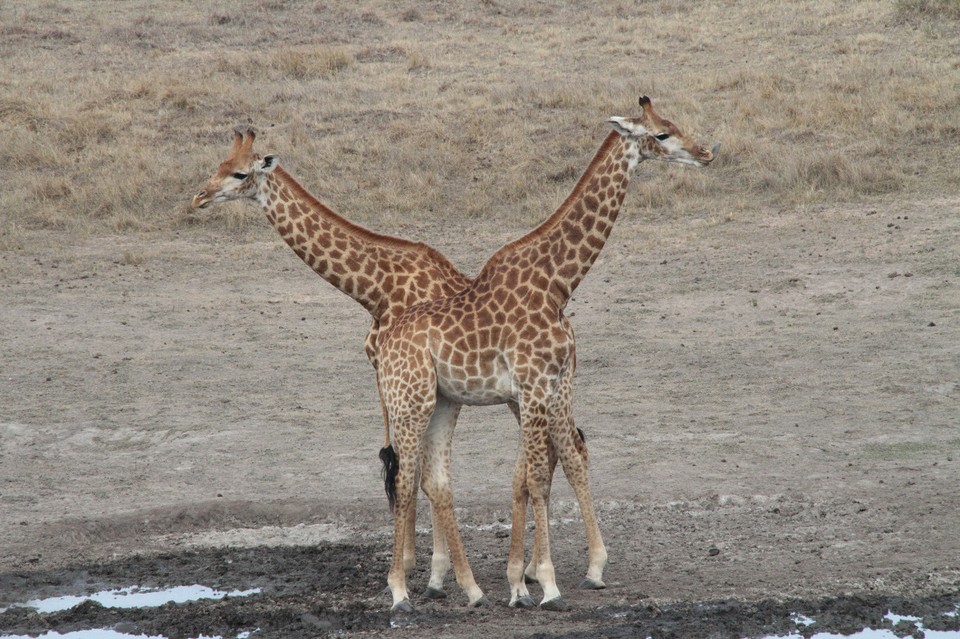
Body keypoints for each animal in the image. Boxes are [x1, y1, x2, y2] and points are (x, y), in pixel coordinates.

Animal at [190, 127, 572, 604]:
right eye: (218, 165)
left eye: (239, 173)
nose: (198, 197)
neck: (375, 288)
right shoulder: (384, 372)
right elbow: (403, 465)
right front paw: (421, 568)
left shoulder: (412, 378)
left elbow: (414, 471)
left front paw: (427, 572)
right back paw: (531, 573)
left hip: (525, 393)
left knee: (560, 452)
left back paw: (534, 573)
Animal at [376, 94, 712, 608]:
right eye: (661, 134)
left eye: (673, 125)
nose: (706, 153)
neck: (556, 284)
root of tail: (383, 344)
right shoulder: (534, 385)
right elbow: (536, 476)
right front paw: (547, 584)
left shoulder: (551, 385)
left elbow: (551, 466)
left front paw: (532, 580)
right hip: (408, 401)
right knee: (404, 477)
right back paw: (399, 591)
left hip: (442, 402)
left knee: (433, 478)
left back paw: (470, 589)